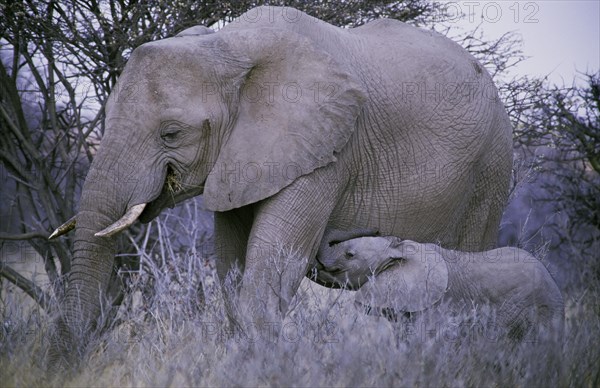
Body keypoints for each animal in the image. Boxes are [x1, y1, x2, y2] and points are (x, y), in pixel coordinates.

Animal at [49, 5, 512, 358]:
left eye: (171, 134)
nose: (68, 362)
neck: (229, 45)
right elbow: (232, 265)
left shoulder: (328, 150)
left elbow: (273, 262)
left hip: (490, 170)